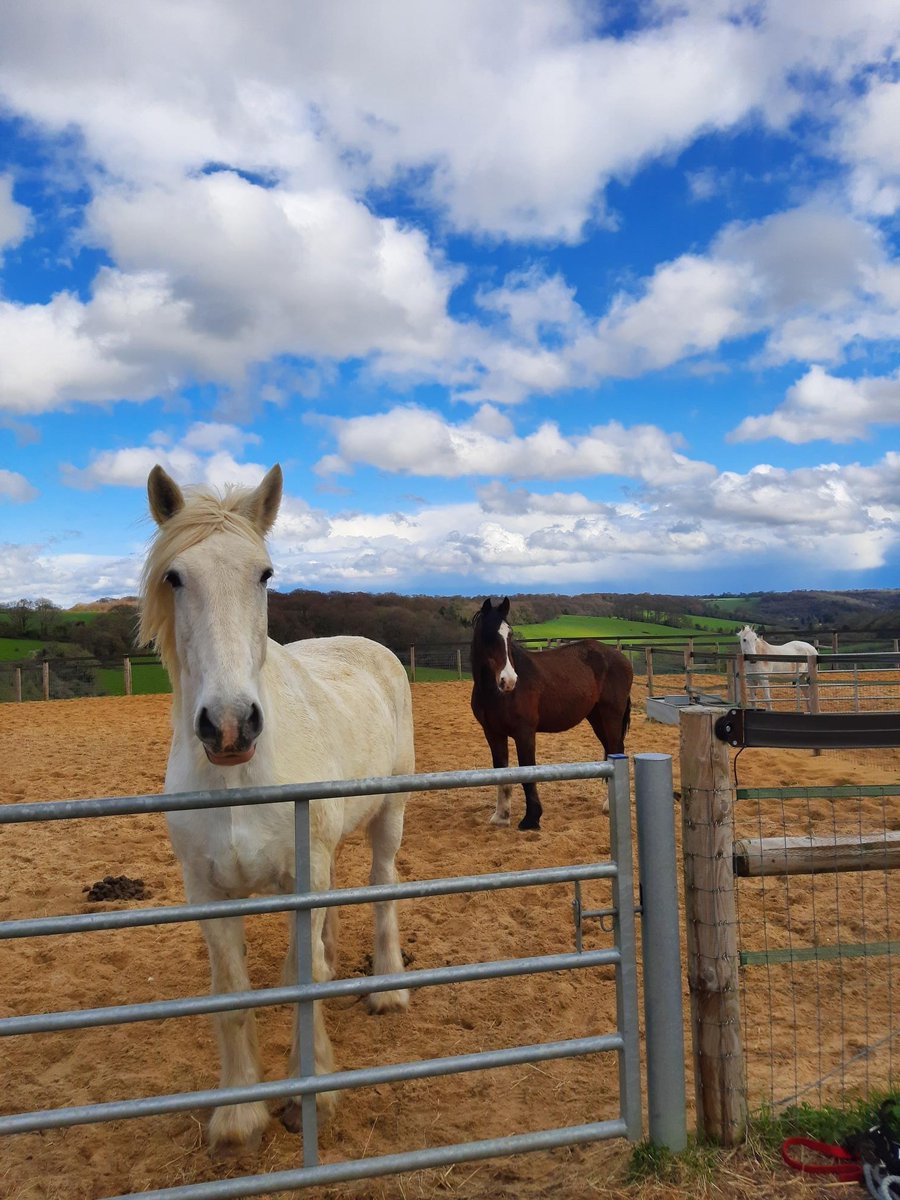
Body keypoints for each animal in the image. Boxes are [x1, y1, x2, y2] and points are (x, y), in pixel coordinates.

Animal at [140, 463, 415, 1155]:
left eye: (263, 574)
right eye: (175, 577)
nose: (229, 725)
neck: (238, 779)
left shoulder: (299, 878)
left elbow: (299, 977)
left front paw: (306, 1095)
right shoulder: (207, 892)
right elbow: (233, 992)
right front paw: (239, 1114)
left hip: (390, 815)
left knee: (382, 885)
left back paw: (388, 990)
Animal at [470, 598, 633, 830]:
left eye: (509, 634)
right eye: (489, 635)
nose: (508, 680)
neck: (495, 693)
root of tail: (621, 658)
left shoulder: (524, 733)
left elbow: (527, 772)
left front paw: (531, 819)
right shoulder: (493, 733)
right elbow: (500, 772)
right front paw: (501, 816)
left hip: (611, 716)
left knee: (616, 749)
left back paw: (609, 806)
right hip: (597, 718)